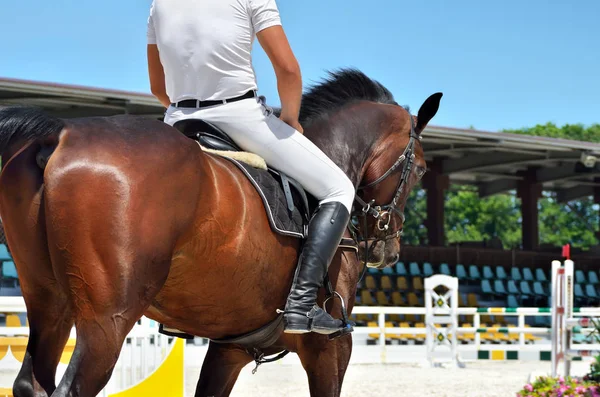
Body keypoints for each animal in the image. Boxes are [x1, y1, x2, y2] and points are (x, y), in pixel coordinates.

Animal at [0, 69, 440, 396]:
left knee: (31, 382)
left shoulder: (230, 347)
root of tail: (61, 132)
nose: (387, 250)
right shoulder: (330, 347)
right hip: (107, 321)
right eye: (419, 169)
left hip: (49, 303)